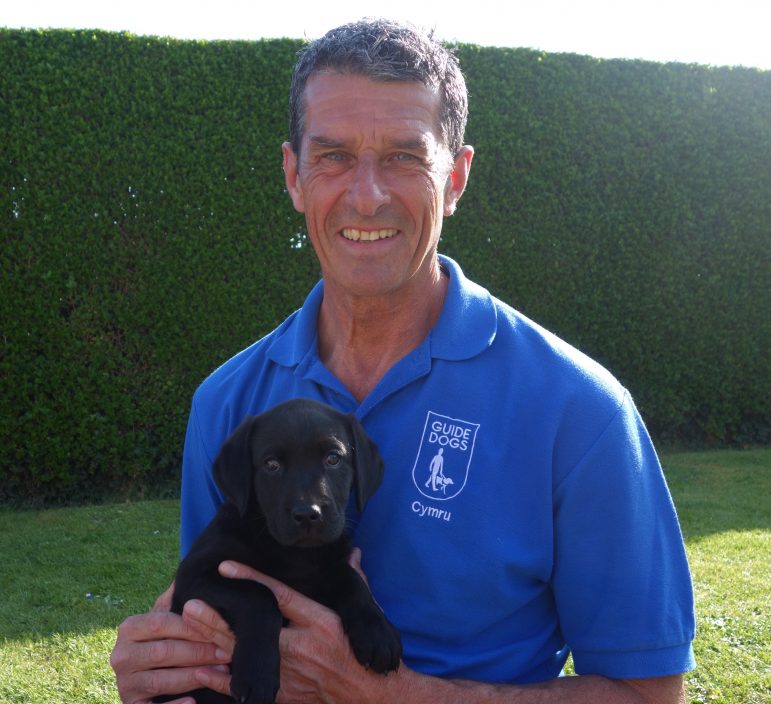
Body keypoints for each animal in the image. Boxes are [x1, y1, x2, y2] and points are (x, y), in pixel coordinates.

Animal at [154, 398, 402, 700]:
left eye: (333, 459)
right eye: (271, 465)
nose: (308, 514)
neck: (295, 555)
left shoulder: (331, 562)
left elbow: (352, 580)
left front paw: (377, 632)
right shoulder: (193, 576)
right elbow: (259, 595)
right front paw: (256, 675)